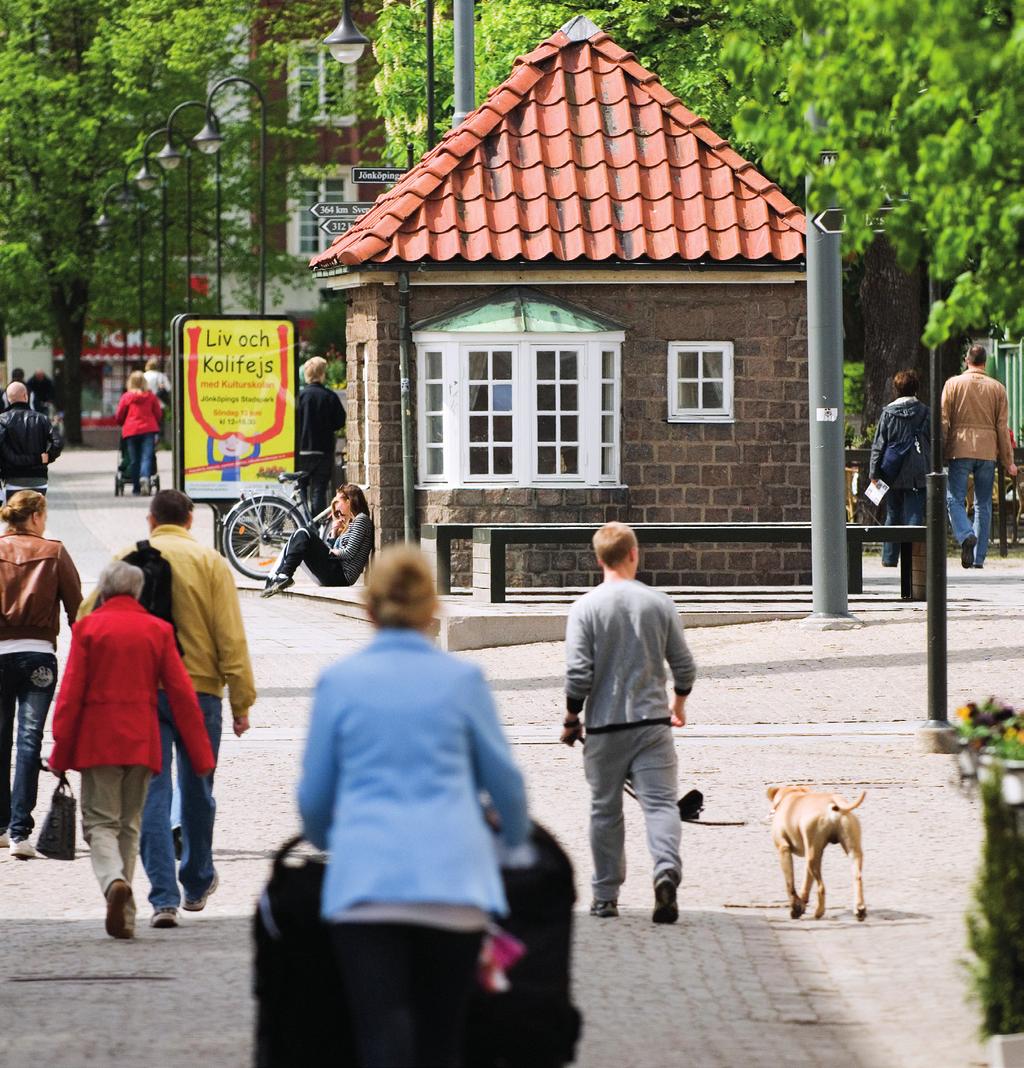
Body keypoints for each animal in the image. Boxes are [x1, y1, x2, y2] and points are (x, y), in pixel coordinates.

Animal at [764, 781, 867, 922]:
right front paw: (801, 905)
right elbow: (806, 884)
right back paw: (859, 908)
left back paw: (819, 912)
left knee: (821, 887)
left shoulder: (784, 849)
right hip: (851, 851)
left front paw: (795, 907)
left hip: (812, 855)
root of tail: (834, 804)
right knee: (857, 878)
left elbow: (790, 885)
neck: (792, 795)